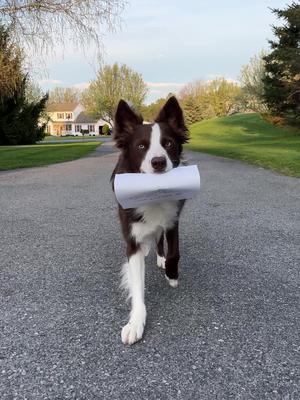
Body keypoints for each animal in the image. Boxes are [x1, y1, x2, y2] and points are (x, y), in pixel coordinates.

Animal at [111, 96, 189, 344]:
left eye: (169, 144)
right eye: (141, 147)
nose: (158, 162)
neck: (153, 192)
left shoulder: (173, 221)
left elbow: (174, 252)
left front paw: (172, 274)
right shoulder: (132, 239)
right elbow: (137, 285)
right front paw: (136, 322)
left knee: (159, 240)